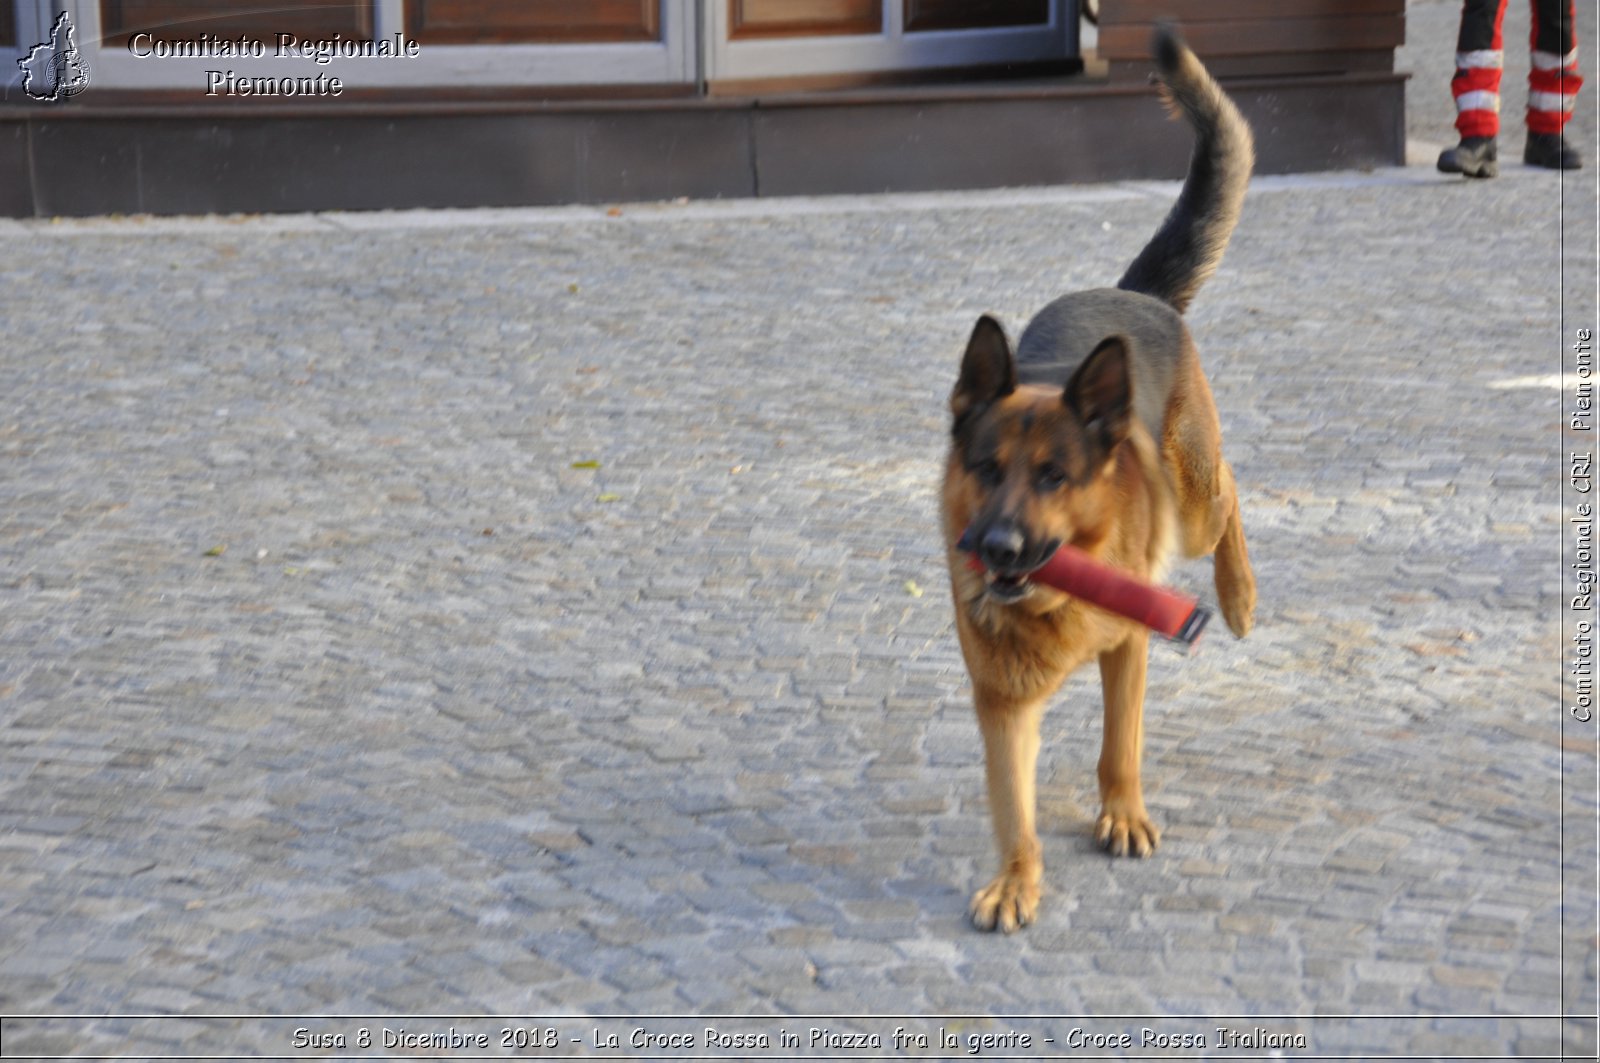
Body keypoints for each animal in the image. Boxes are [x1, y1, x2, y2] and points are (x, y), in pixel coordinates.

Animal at [940, 27, 1254, 928]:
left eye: (1055, 475)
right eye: (987, 468)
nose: (998, 546)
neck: (1058, 596)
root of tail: (1132, 294)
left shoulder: (1129, 645)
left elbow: (1120, 742)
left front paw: (1122, 813)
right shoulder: (1002, 702)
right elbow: (1013, 803)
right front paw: (1017, 879)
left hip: (1193, 499)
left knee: (1231, 493)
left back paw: (1241, 597)